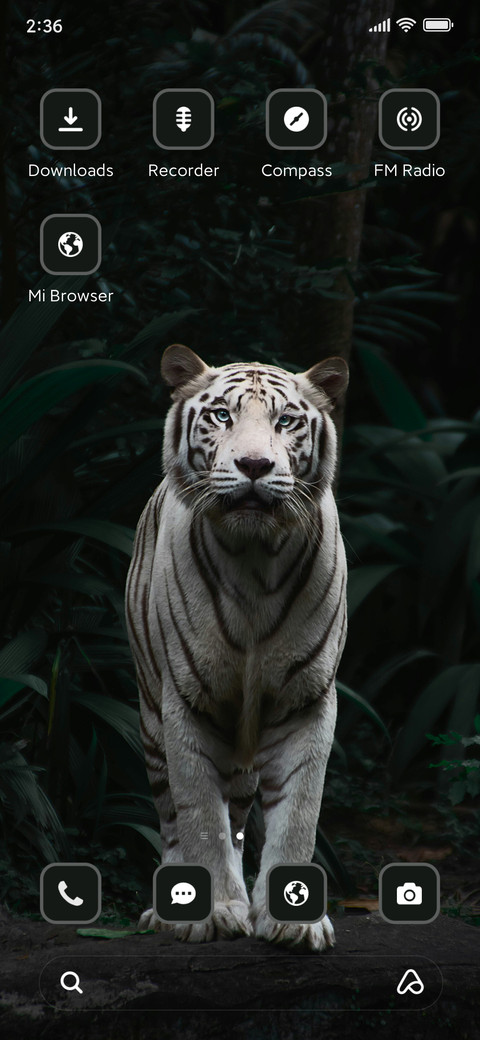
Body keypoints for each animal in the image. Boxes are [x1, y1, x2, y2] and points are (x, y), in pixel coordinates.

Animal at [125, 343, 349, 951]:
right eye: (222, 415)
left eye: (286, 421)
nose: (253, 466)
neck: (254, 559)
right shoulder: (186, 702)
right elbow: (201, 816)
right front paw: (219, 911)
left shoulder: (306, 701)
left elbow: (299, 811)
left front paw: (295, 921)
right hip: (150, 719)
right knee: (172, 817)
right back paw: (169, 912)